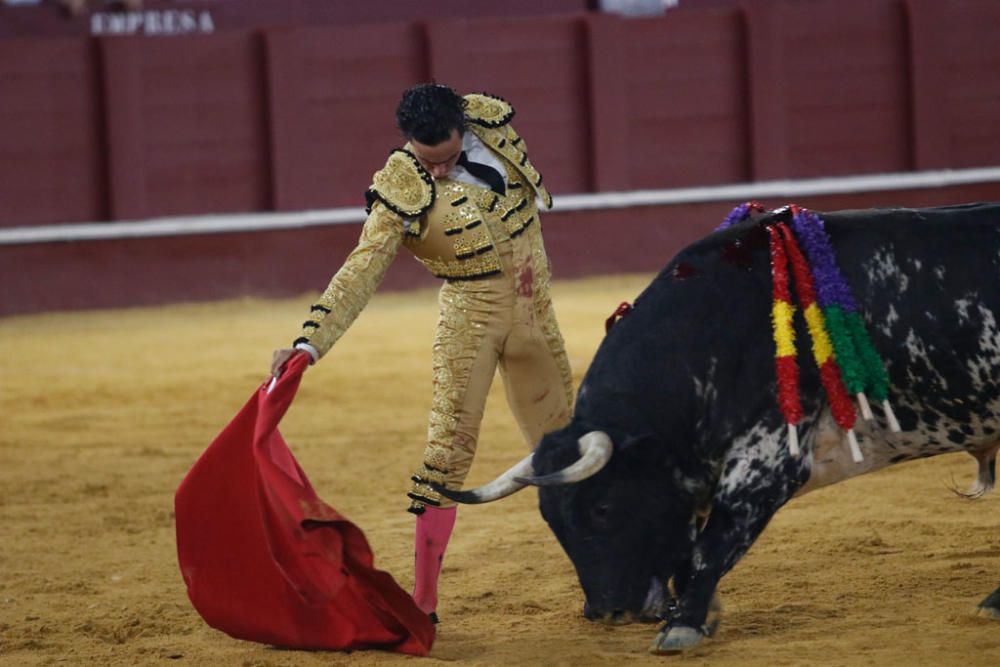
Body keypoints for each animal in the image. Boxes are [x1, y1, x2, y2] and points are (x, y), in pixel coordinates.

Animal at [438, 202, 1000, 652]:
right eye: (551, 521)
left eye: (602, 508)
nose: (607, 612)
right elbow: (690, 554)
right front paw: (700, 614)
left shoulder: (767, 464)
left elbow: (711, 546)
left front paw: (682, 626)